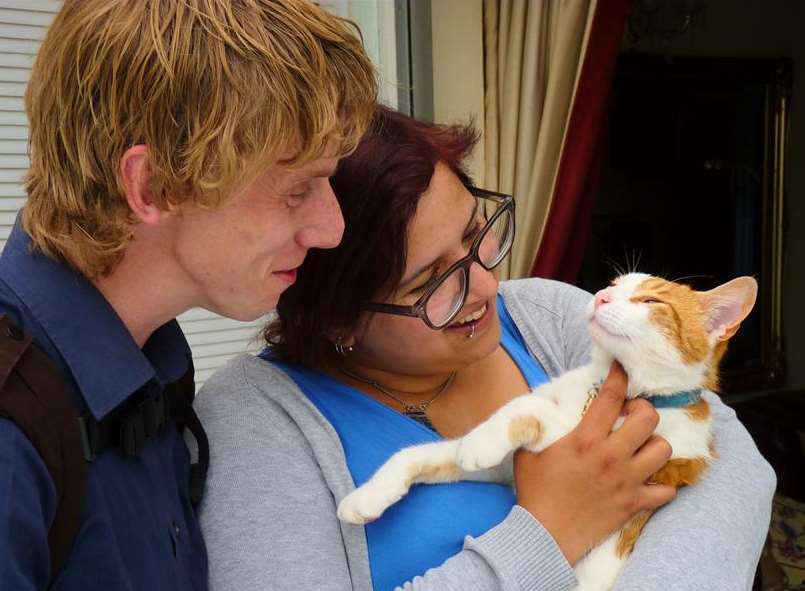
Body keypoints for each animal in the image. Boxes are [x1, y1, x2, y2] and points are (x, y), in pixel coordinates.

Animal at [336, 274, 756, 591]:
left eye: (651, 300)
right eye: (614, 284)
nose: (601, 296)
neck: (607, 386)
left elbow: (527, 408)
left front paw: (479, 441)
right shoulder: (508, 469)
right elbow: (417, 454)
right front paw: (367, 495)